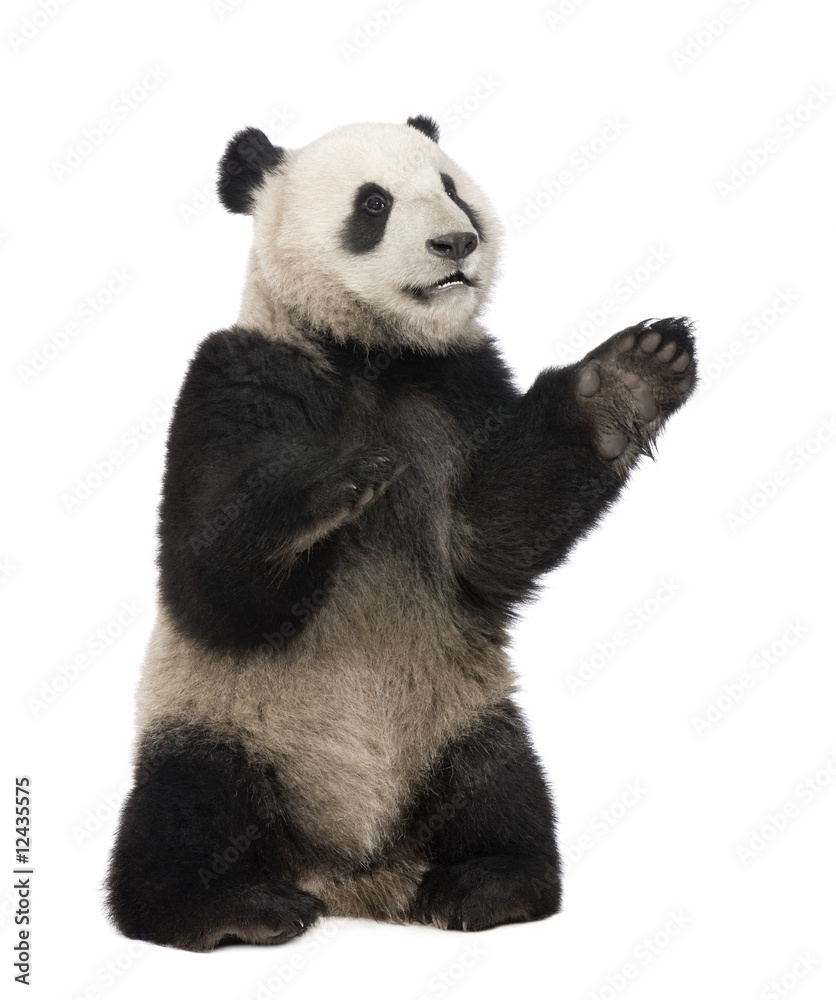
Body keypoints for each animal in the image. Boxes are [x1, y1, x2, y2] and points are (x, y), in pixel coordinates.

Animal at [106, 114, 696, 951]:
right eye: (374, 204)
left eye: (452, 188)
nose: (457, 243)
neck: (372, 359)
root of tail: (351, 876)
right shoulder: (237, 377)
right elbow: (211, 582)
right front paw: (334, 484)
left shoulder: (459, 386)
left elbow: (491, 536)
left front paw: (624, 383)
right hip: (223, 720)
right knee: (187, 807)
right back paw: (231, 906)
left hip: (458, 720)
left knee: (503, 786)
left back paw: (487, 885)